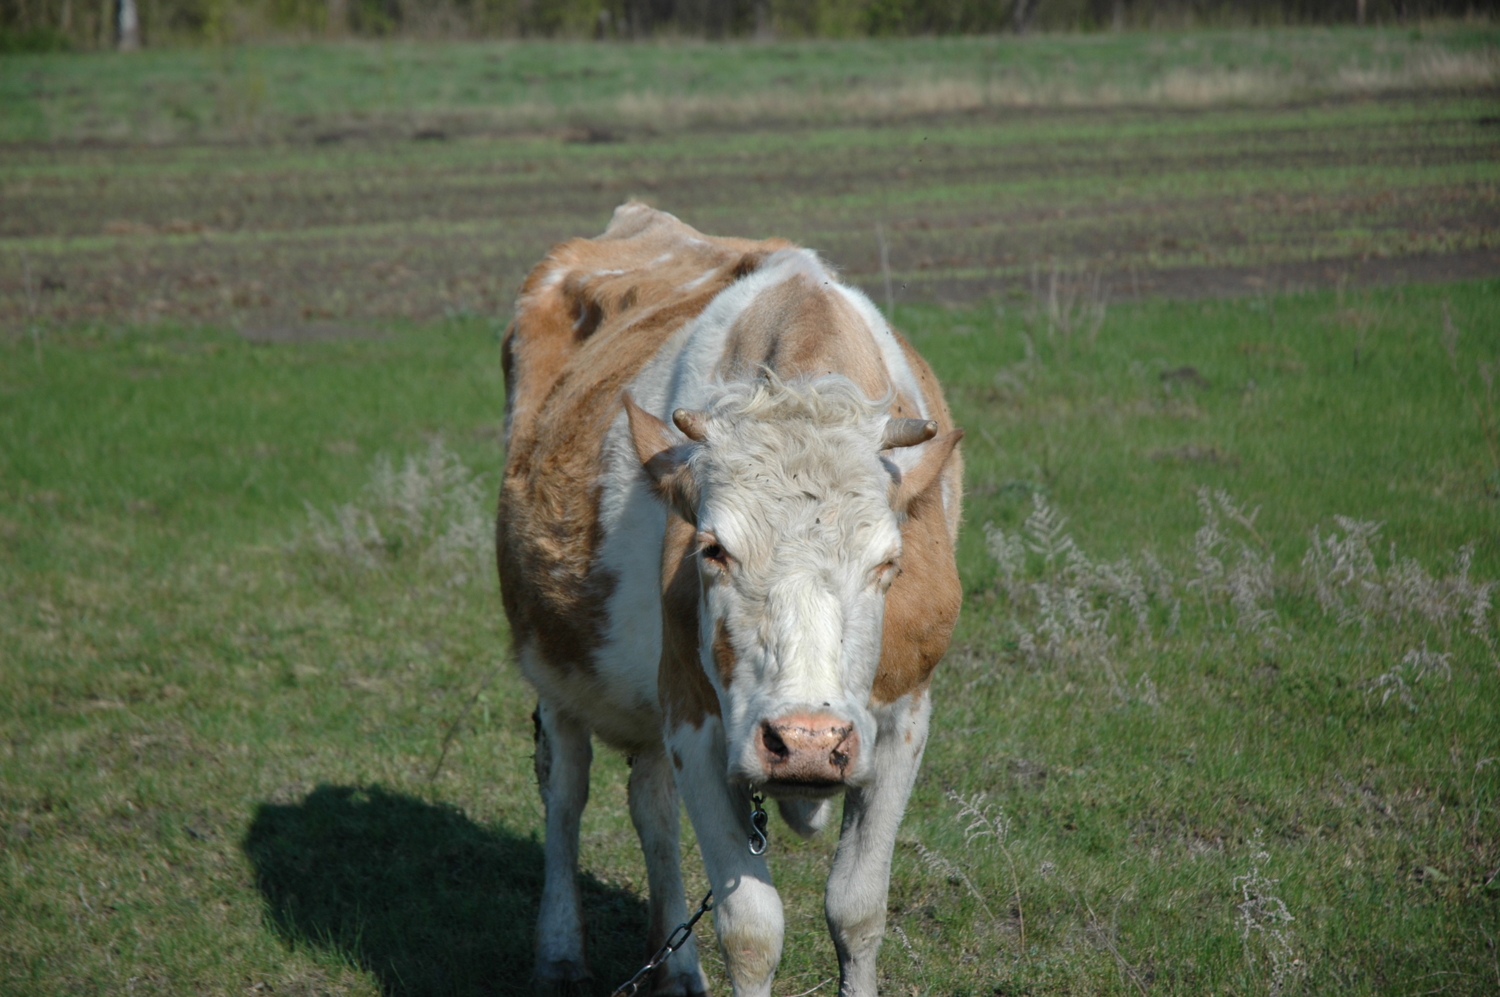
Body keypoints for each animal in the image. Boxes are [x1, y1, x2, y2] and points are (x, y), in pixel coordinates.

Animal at [492, 202, 960, 995]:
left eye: (888, 562)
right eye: (713, 548)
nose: (807, 740)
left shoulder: (902, 720)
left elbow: (858, 906)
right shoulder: (695, 718)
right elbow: (750, 928)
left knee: (650, 806)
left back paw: (674, 965)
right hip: (557, 669)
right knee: (565, 791)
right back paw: (559, 954)